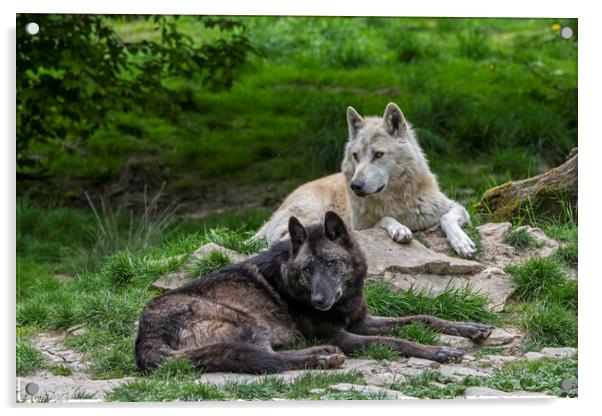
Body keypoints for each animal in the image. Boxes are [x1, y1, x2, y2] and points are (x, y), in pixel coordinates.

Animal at [134, 211, 490, 374]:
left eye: (330, 263)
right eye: (308, 269)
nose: (319, 302)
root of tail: (144, 339)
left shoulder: (360, 321)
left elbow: (422, 316)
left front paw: (470, 328)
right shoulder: (345, 333)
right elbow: (395, 341)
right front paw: (439, 351)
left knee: (268, 355)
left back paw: (323, 354)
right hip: (246, 323)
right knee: (269, 359)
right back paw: (323, 357)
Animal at [255, 102, 476, 256]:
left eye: (378, 154)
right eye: (356, 156)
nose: (355, 185)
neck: (397, 201)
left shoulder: (455, 207)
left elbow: (447, 218)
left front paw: (462, 242)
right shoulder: (359, 227)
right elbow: (384, 219)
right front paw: (399, 228)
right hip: (310, 216)